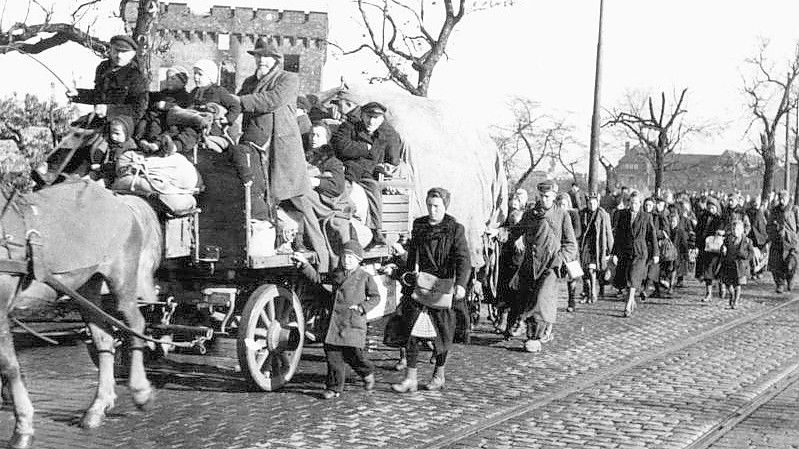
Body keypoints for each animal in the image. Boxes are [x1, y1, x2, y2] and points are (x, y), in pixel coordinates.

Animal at [0, 179, 162, 448]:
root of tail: (119, 199)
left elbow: (9, 366)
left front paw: (23, 428)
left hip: (122, 280)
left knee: (135, 325)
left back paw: (141, 392)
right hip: (86, 289)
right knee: (104, 339)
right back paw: (97, 408)